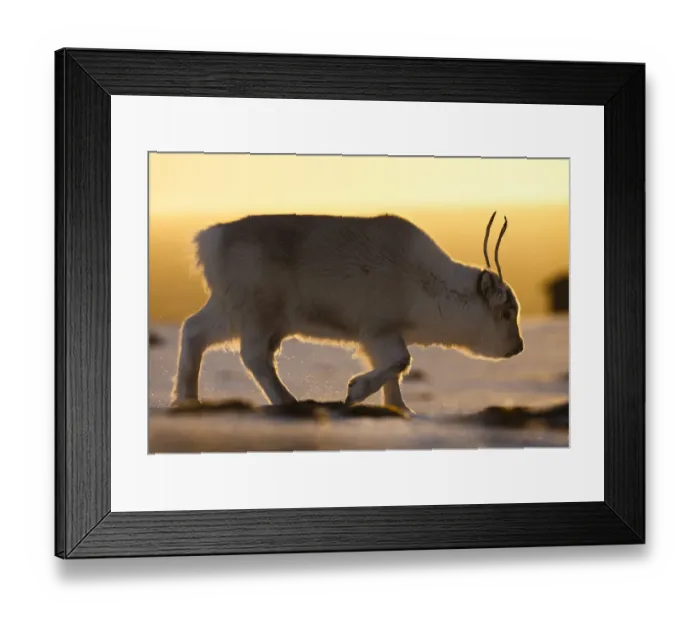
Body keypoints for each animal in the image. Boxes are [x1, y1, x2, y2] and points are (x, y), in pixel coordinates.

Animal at [171, 211, 524, 413]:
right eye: (507, 312)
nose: (518, 347)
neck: (429, 284)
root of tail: (210, 239)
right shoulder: (377, 328)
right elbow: (401, 361)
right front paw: (355, 392)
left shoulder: (385, 334)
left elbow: (395, 369)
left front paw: (400, 407)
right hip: (257, 312)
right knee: (254, 355)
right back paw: (288, 401)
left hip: (230, 310)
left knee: (193, 330)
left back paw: (186, 399)